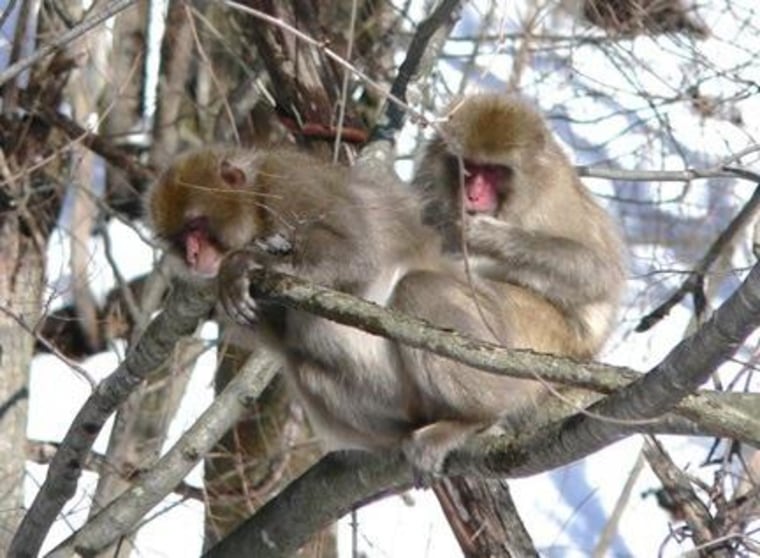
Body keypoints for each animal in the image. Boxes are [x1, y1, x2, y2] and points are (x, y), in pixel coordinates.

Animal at [144, 145, 560, 472]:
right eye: (180, 238)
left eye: (197, 226)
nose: (192, 255)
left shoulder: (291, 182)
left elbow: (356, 253)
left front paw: (245, 263)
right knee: (305, 365)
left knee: (417, 288)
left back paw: (473, 419)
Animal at [412, 93, 628, 360]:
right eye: (469, 167)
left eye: (493, 170)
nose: (472, 195)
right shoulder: (428, 180)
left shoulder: (554, 196)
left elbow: (597, 272)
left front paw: (488, 236)